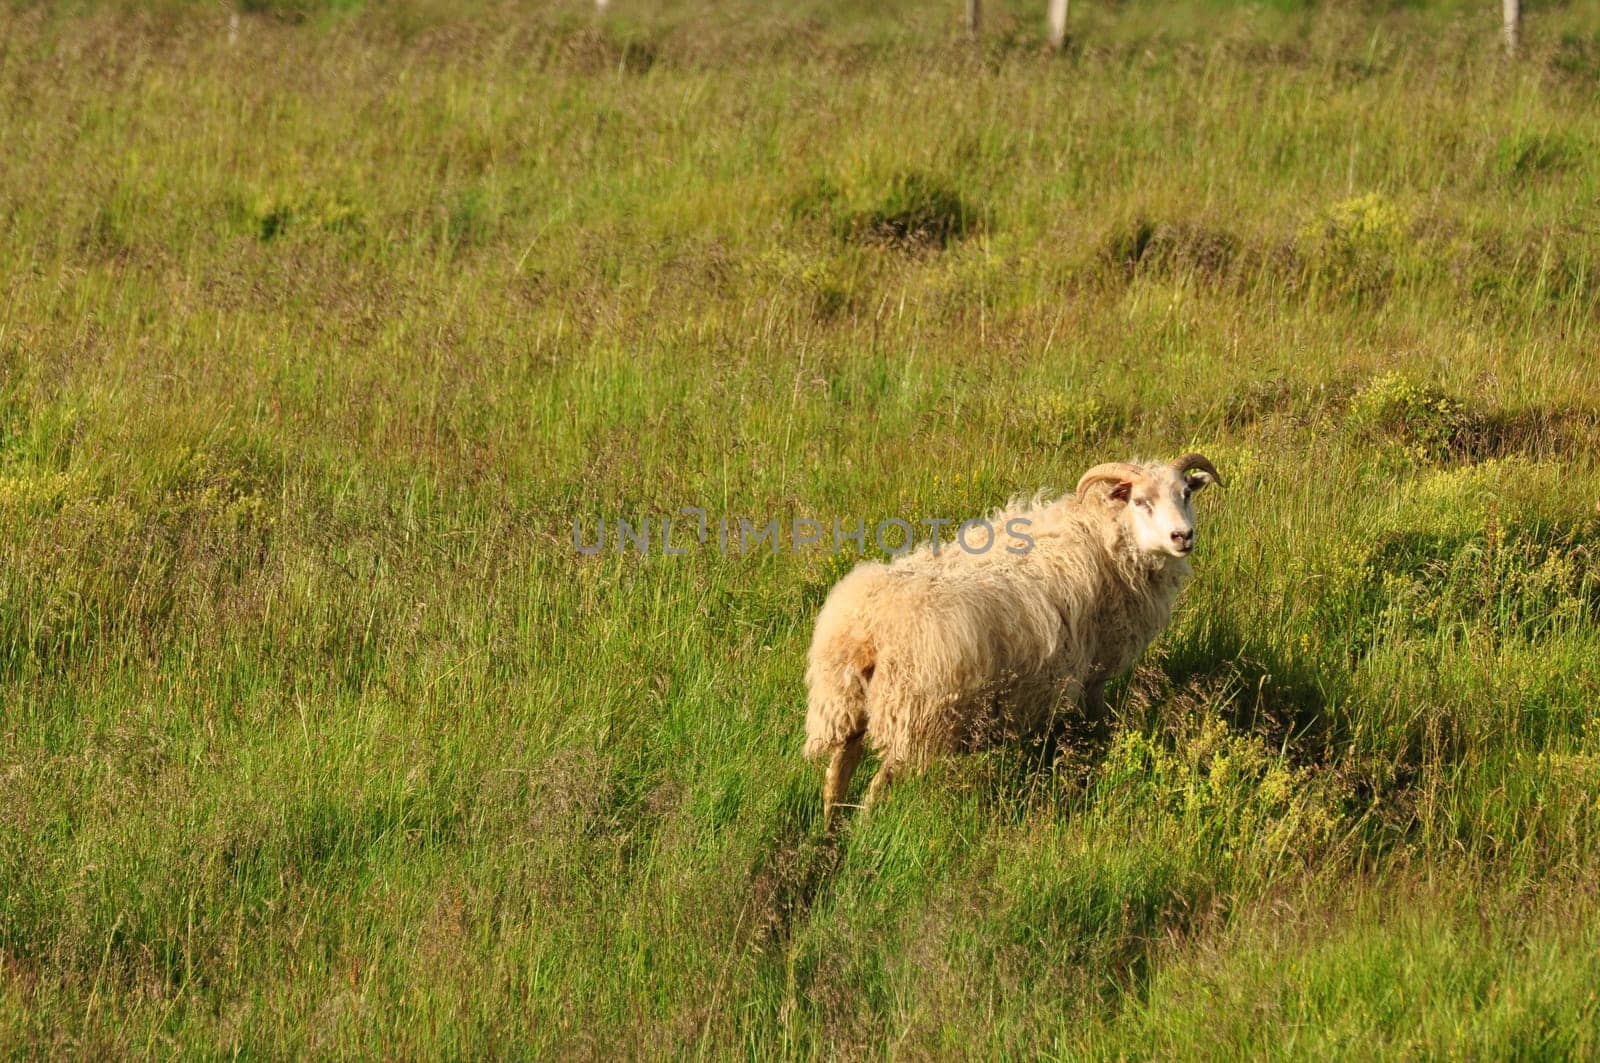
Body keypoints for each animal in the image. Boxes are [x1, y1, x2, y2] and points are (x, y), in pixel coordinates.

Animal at [800, 451, 1222, 826]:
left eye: (1186, 493)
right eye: (1140, 500)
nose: (1183, 536)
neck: (1102, 538)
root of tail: (867, 631)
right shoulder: (1092, 675)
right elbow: (1095, 722)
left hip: (846, 707)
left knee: (835, 776)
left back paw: (830, 831)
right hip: (915, 717)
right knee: (876, 785)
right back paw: (862, 831)